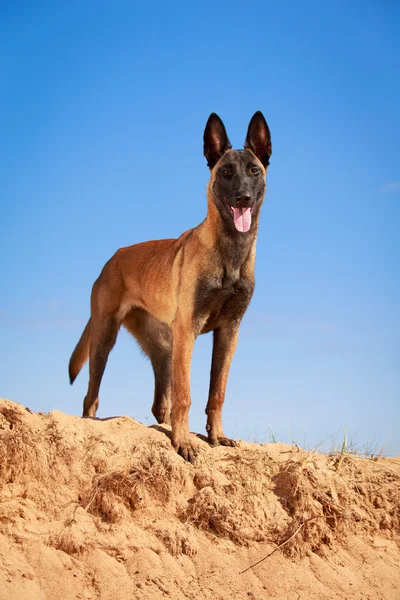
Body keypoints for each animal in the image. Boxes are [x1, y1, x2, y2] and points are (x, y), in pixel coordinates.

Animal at [70, 111, 274, 460]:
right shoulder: (189, 328)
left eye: (253, 171)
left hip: (166, 348)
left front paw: (216, 436)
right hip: (107, 338)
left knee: (159, 404)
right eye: (226, 172)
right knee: (91, 394)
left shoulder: (228, 333)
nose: (243, 198)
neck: (230, 254)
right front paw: (183, 442)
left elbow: (217, 392)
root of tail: (112, 258)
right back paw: (93, 420)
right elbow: (185, 395)